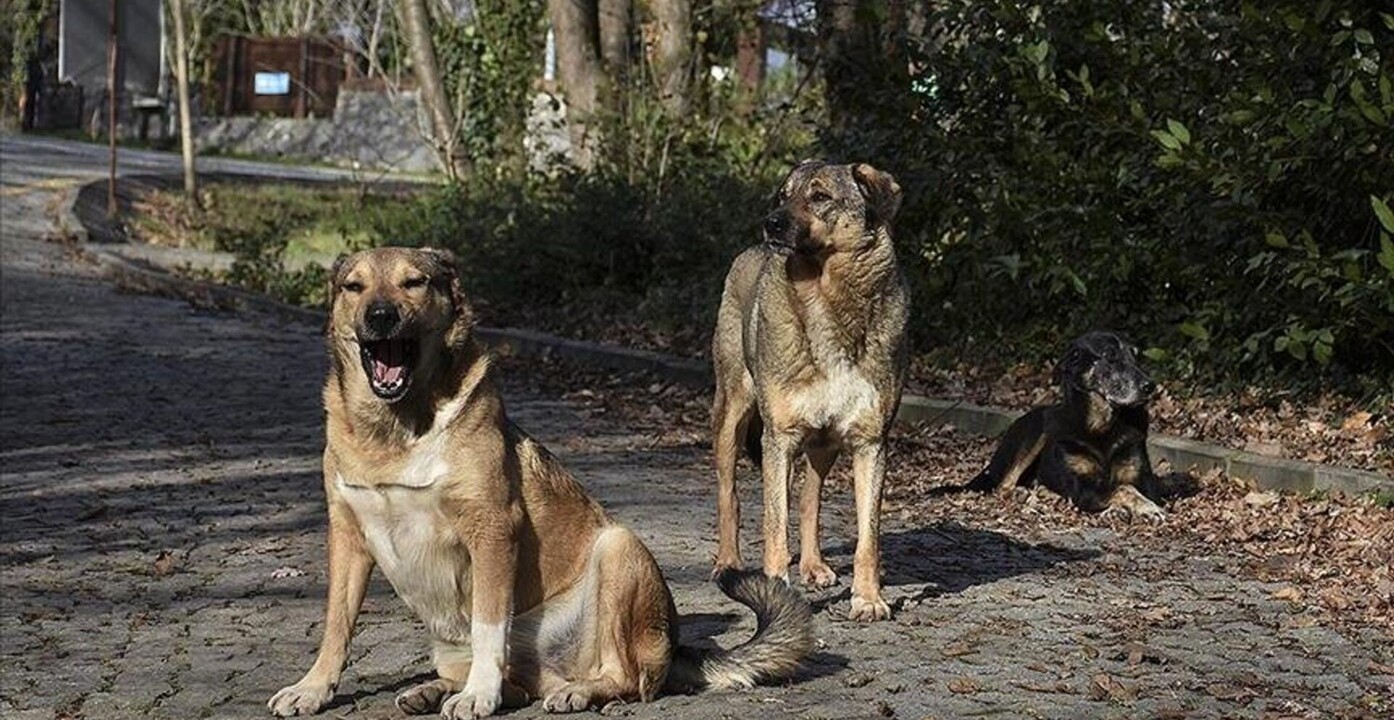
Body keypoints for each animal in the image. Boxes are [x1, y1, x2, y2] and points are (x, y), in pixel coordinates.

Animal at [267, 248, 814, 720]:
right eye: (353, 287)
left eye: (414, 282)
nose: (379, 315)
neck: (396, 430)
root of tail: (676, 645)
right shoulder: (347, 536)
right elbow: (337, 625)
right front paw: (313, 688)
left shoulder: (492, 530)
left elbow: (489, 626)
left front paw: (478, 696)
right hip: (449, 642)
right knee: (518, 684)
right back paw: (434, 690)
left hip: (618, 549)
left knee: (624, 678)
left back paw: (573, 692)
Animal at [713, 160, 908, 622]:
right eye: (783, 195)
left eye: (819, 196)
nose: (770, 223)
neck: (827, 297)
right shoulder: (779, 439)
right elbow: (774, 525)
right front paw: (775, 593)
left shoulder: (871, 443)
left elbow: (867, 537)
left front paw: (868, 598)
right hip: (732, 416)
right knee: (730, 494)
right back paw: (729, 563)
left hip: (824, 444)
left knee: (809, 498)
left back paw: (814, 566)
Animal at [970, 329, 1165, 519]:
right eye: (1110, 356)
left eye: (1136, 356)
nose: (1150, 386)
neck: (1101, 425)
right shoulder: (1081, 488)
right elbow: (1124, 488)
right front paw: (1147, 507)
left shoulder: (1143, 480)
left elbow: (1127, 487)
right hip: (1036, 433)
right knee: (1004, 486)